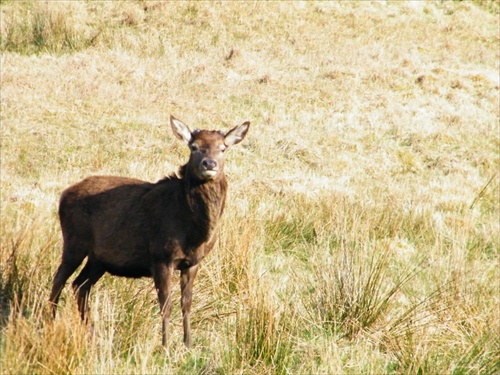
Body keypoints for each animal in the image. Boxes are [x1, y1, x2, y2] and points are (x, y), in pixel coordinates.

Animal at [48, 115, 250, 350]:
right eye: (194, 147)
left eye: (223, 148)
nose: (209, 164)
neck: (194, 233)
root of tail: (64, 194)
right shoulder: (161, 256)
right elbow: (166, 305)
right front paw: (165, 346)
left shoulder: (193, 262)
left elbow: (186, 303)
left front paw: (188, 344)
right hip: (74, 241)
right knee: (59, 280)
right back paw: (48, 323)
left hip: (99, 259)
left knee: (80, 285)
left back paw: (92, 334)